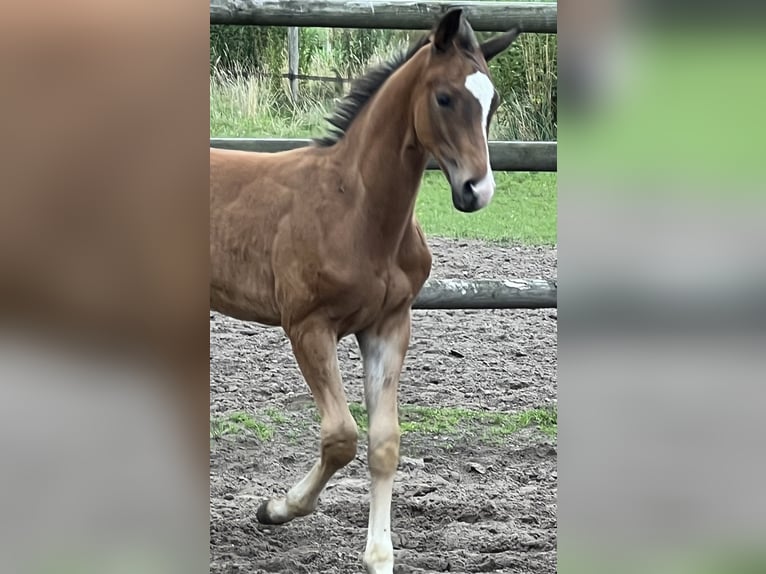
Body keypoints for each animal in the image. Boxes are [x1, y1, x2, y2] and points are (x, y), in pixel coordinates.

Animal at [210, 10, 520, 574]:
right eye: (445, 97)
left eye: (493, 101)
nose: (477, 190)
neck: (355, 209)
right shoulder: (308, 326)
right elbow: (341, 438)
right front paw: (276, 508)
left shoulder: (388, 325)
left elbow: (383, 443)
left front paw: (379, 556)